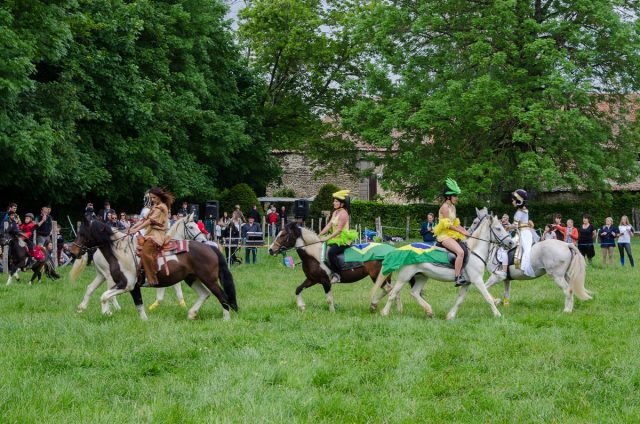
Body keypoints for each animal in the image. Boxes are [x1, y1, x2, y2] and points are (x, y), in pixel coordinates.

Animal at [70, 217, 235, 320]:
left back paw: (226, 319)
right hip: (192, 278)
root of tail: (210, 248)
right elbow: (139, 306)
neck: (121, 252)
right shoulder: (133, 287)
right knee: (204, 294)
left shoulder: (127, 284)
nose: (73, 251)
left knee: (222, 296)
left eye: (83, 233)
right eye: (191, 227)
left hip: (208, 279)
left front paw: (106, 313)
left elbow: (104, 296)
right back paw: (191, 314)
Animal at [266, 224, 398, 314]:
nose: (271, 250)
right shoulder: (311, 280)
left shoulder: (325, 281)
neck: (314, 255)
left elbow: (329, 299)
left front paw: (332, 312)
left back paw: (375, 305)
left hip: (376, 276)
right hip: (386, 276)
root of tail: (389, 250)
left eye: (283, 235)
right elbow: (298, 289)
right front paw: (301, 306)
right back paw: (395, 309)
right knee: (393, 290)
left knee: (388, 289)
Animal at [370, 207, 516, 320]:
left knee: (414, 292)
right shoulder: (477, 280)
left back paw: (429, 311)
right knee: (393, 293)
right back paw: (384, 312)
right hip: (405, 276)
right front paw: (498, 314)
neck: (474, 251)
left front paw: (450, 316)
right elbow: (487, 297)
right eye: (498, 228)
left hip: (422, 276)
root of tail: (400, 249)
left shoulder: (467, 283)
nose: (511, 243)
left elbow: (459, 300)